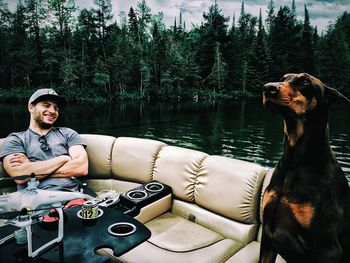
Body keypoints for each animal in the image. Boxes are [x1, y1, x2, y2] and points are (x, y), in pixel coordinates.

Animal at [258, 72, 350, 263]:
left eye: (305, 81)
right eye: (283, 78)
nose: (267, 88)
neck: (294, 162)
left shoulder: (328, 250)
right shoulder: (268, 236)